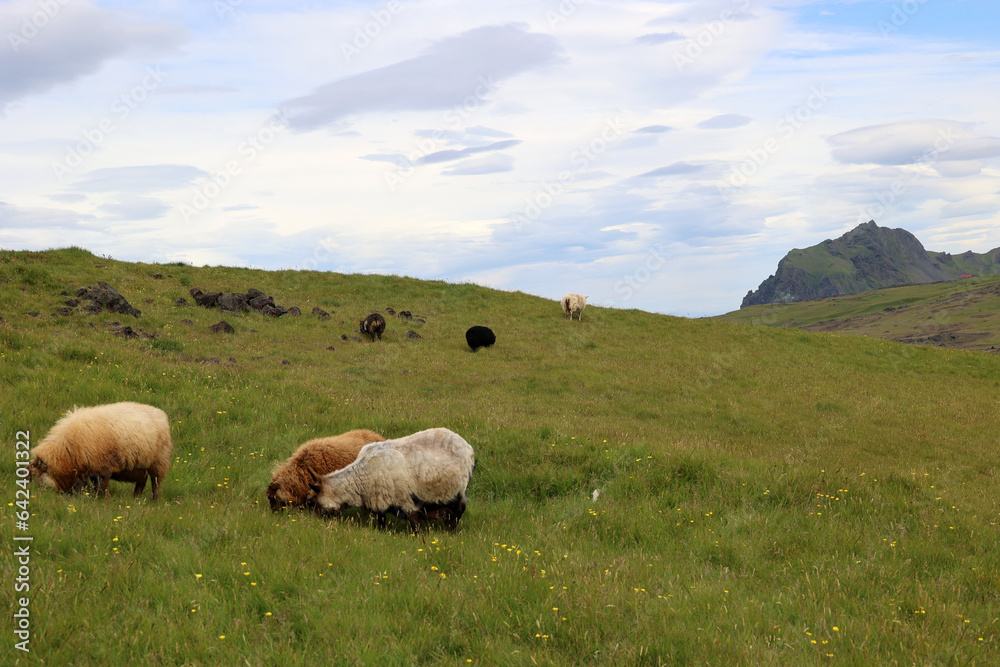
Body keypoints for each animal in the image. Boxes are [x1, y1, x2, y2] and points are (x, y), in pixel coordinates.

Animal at [28, 402, 174, 500]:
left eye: (36, 475)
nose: (40, 493)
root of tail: (160, 413)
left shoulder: (104, 463)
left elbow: (104, 483)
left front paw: (107, 498)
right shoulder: (91, 465)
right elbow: (96, 483)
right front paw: (97, 496)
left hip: (158, 462)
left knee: (155, 483)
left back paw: (154, 500)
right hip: (141, 464)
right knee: (142, 481)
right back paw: (136, 498)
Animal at [306, 430, 474, 536]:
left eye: (312, 501)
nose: (311, 524)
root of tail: (468, 447)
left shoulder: (406, 501)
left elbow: (415, 523)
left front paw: (418, 538)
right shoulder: (379, 501)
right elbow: (381, 521)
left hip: (458, 490)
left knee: (459, 510)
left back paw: (451, 531)